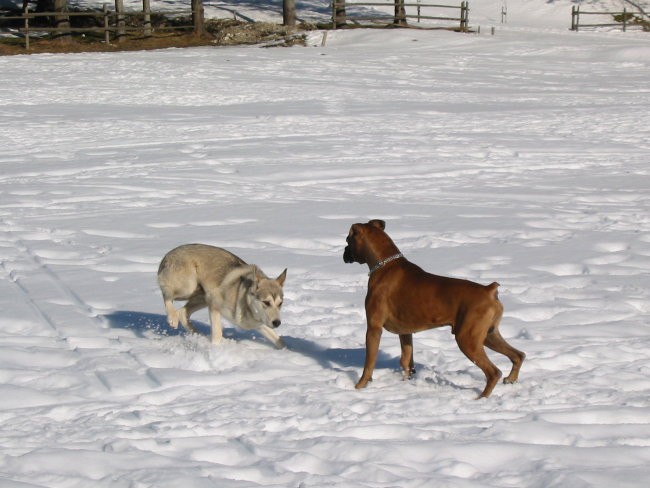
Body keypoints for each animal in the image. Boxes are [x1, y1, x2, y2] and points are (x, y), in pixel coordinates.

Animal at [157, 244, 286, 346]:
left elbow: (279, 341)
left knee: (183, 312)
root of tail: (168, 254)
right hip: (189, 287)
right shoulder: (214, 304)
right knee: (167, 295)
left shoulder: (259, 324)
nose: (277, 323)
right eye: (266, 302)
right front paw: (216, 348)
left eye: (280, 304)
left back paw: (197, 334)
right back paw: (172, 318)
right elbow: (218, 333)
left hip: (202, 296)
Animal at [342, 219, 524, 398]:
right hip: (488, 336)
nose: (344, 252)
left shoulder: (374, 328)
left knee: (493, 372)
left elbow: (369, 363)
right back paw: (510, 379)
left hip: (467, 340)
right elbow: (406, 360)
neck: (385, 264)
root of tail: (489, 290)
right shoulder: (405, 333)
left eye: (347, 240)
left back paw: (481, 398)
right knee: (518, 355)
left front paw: (359, 386)